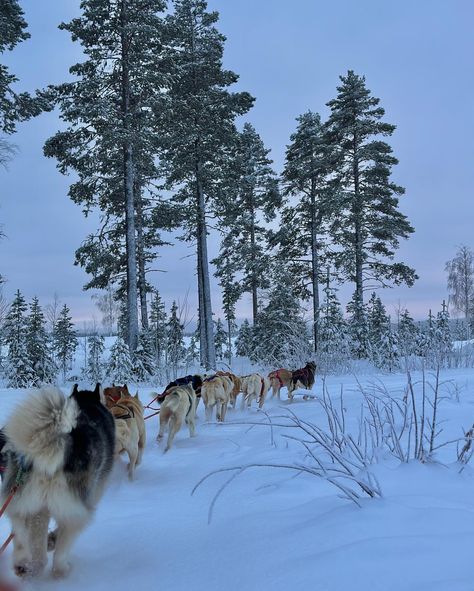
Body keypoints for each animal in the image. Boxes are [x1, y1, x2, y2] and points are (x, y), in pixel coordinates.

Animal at [0, 386, 115, 580]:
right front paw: (52, 540)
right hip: (76, 511)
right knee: (60, 550)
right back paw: (61, 569)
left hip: (20, 501)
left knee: (23, 538)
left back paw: (23, 564)